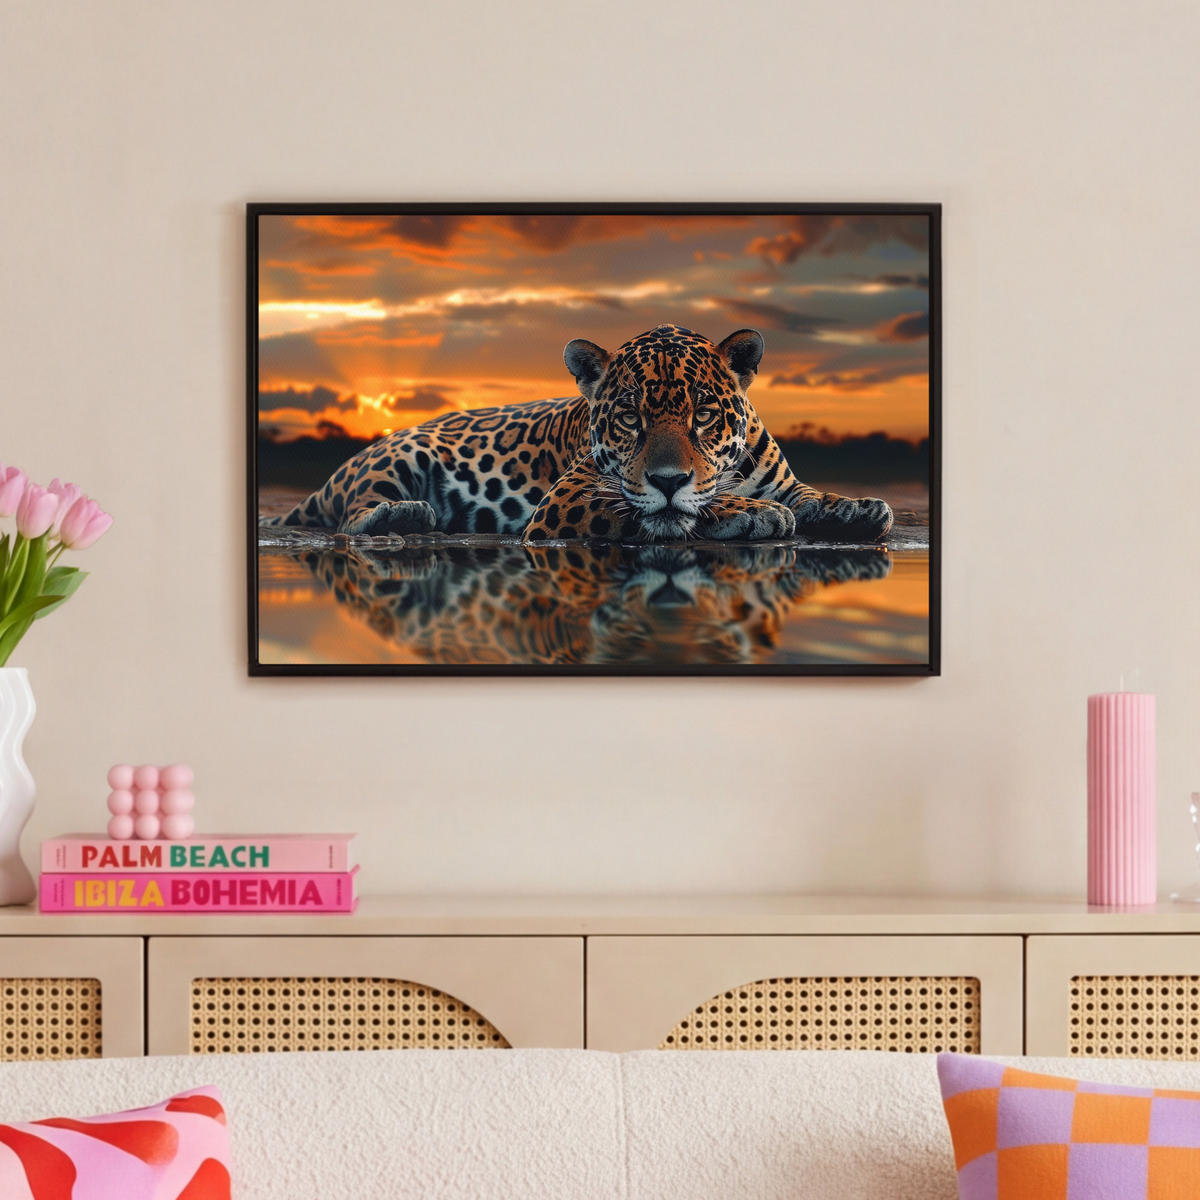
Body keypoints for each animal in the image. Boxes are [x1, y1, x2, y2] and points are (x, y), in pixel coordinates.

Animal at [263, 324, 893, 544]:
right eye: (630, 418)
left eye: (704, 415)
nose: (668, 478)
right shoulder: (568, 498)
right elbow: (673, 508)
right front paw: (749, 513)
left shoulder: (782, 480)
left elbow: (810, 495)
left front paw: (857, 508)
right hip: (397, 457)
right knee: (351, 516)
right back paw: (406, 515)